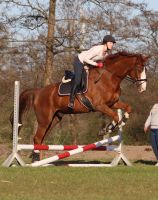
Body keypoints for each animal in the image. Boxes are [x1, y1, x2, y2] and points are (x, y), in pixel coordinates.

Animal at [13, 51, 148, 159]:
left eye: (145, 69)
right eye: (139, 68)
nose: (143, 88)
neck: (109, 77)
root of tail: (39, 91)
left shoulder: (113, 103)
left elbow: (128, 108)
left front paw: (123, 121)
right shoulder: (99, 105)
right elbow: (115, 116)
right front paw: (106, 129)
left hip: (54, 119)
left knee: (41, 139)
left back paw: (39, 160)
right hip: (44, 120)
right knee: (37, 138)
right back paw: (36, 160)